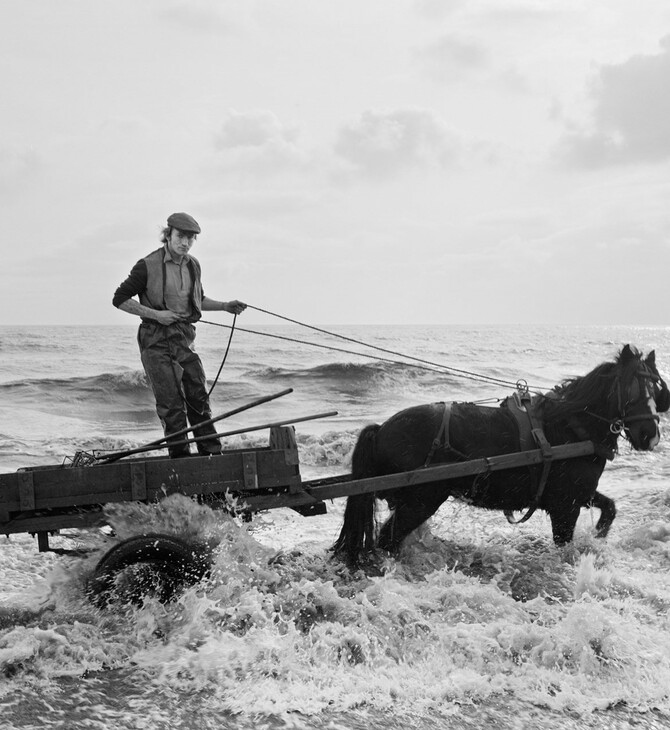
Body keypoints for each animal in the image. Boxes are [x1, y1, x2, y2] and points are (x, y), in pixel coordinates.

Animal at [334, 342, 668, 564]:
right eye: (632, 388)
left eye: (658, 390)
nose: (650, 436)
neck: (569, 427)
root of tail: (382, 430)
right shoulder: (566, 507)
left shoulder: (579, 494)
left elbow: (610, 508)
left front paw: (599, 535)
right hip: (420, 501)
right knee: (386, 541)